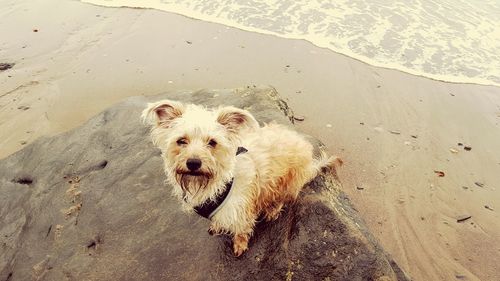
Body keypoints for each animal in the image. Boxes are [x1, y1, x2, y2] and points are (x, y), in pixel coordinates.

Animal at [143, 99, 342, 255]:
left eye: (212, 142)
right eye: (181, 141)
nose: (193, 163)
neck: (217, 182)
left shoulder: (241, 209)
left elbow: (241, 229)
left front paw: (240, 244)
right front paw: (217, 226)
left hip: (287, 182)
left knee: (282, 198)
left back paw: (273, 209)